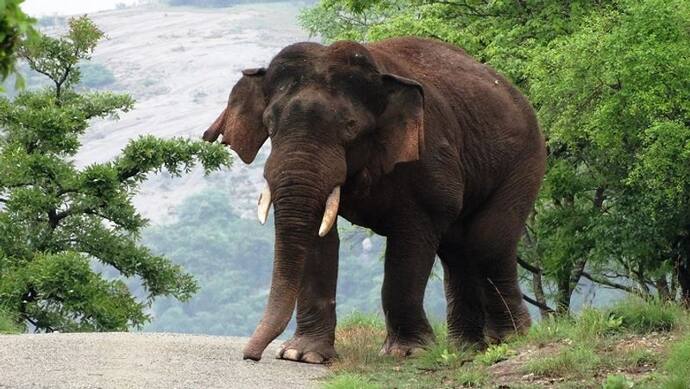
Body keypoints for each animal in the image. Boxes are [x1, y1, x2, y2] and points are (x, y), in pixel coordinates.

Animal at [202, 36, 544, 364]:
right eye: (270, 123)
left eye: (350, 126)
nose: (251, 356)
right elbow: (319, 237)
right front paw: (303, 355)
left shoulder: (429, 160)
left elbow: (411, 240)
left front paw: (407, 353)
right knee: (457, 250)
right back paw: (466, 349)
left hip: (524, 163)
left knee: (488, 241)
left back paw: (509, 339)